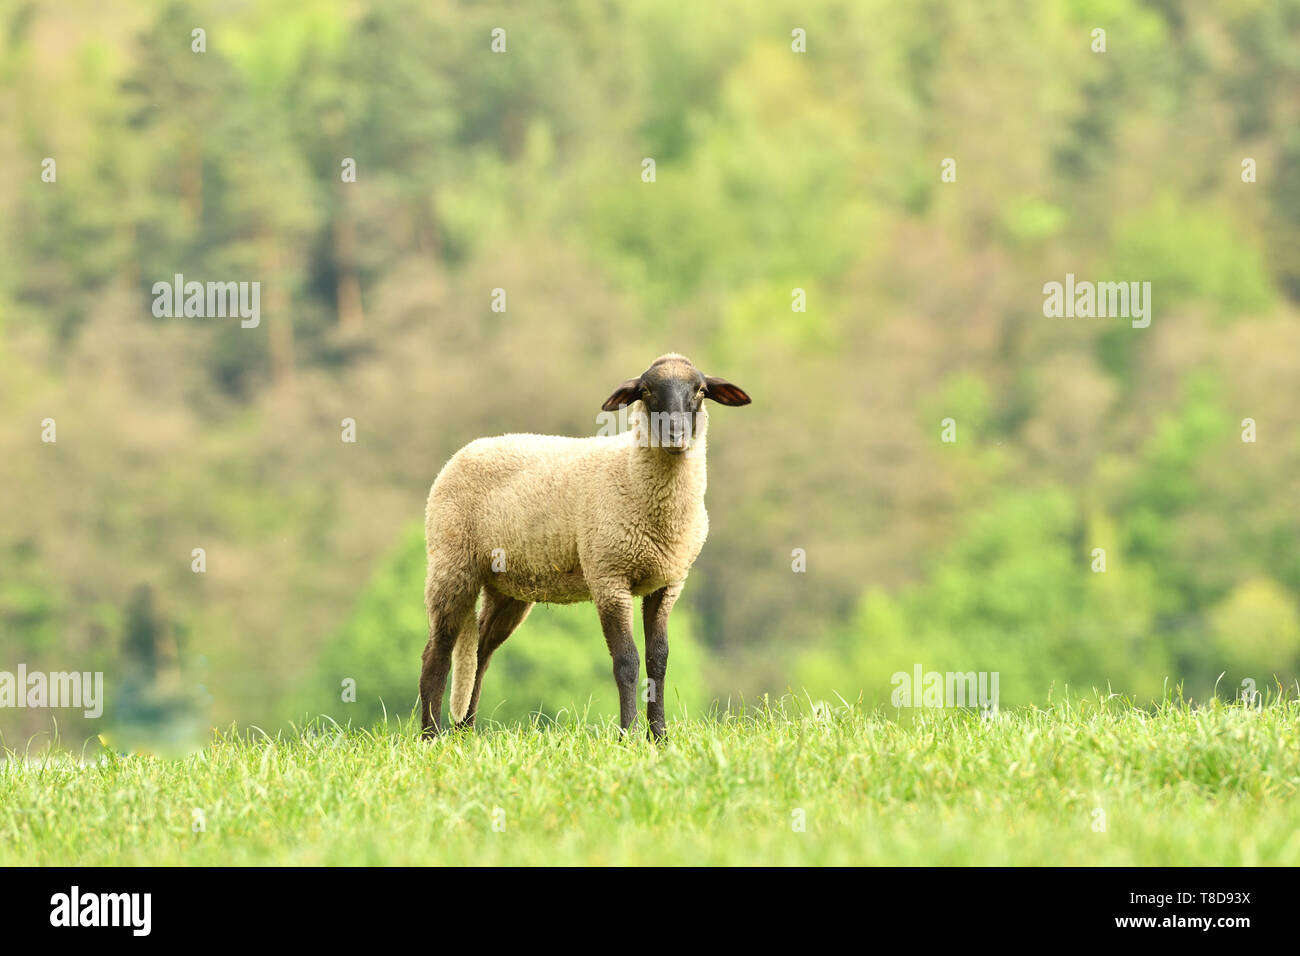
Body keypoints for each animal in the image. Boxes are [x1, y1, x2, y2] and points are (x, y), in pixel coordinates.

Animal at [418, 352, 751, 740]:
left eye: (700, 390)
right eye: (646, 391)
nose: (675, 434)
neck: (632, 476)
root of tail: (463, 452)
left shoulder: (668, 583)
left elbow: (659, 659)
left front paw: (660, 738)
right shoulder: (609, 577)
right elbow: (626, 661)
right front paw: (627, 737)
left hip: (506, 585)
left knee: (480, 653)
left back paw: (465, 733)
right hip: (451, 563)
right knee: (437, 653)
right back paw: (430, 737)